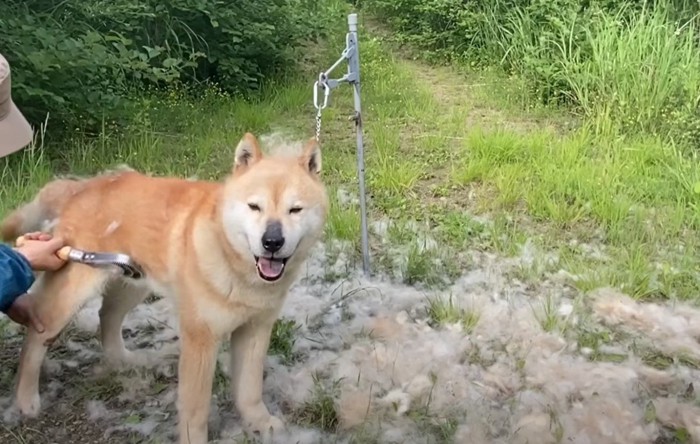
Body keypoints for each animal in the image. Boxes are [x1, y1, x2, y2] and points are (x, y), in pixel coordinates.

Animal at [1, 134, 330, 442]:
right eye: (254, 206)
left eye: (295, 210)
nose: (272, 242)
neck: (233, 261)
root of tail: (82, 186)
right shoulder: (200, 340)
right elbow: (196, 409)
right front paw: (195, 439)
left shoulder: (254, 330)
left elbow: (249, 391)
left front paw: (260, 424)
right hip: (72, 293)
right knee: (36, 339)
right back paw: (26, 400)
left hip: (133, 282)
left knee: (108, 316)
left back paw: (122, 360)